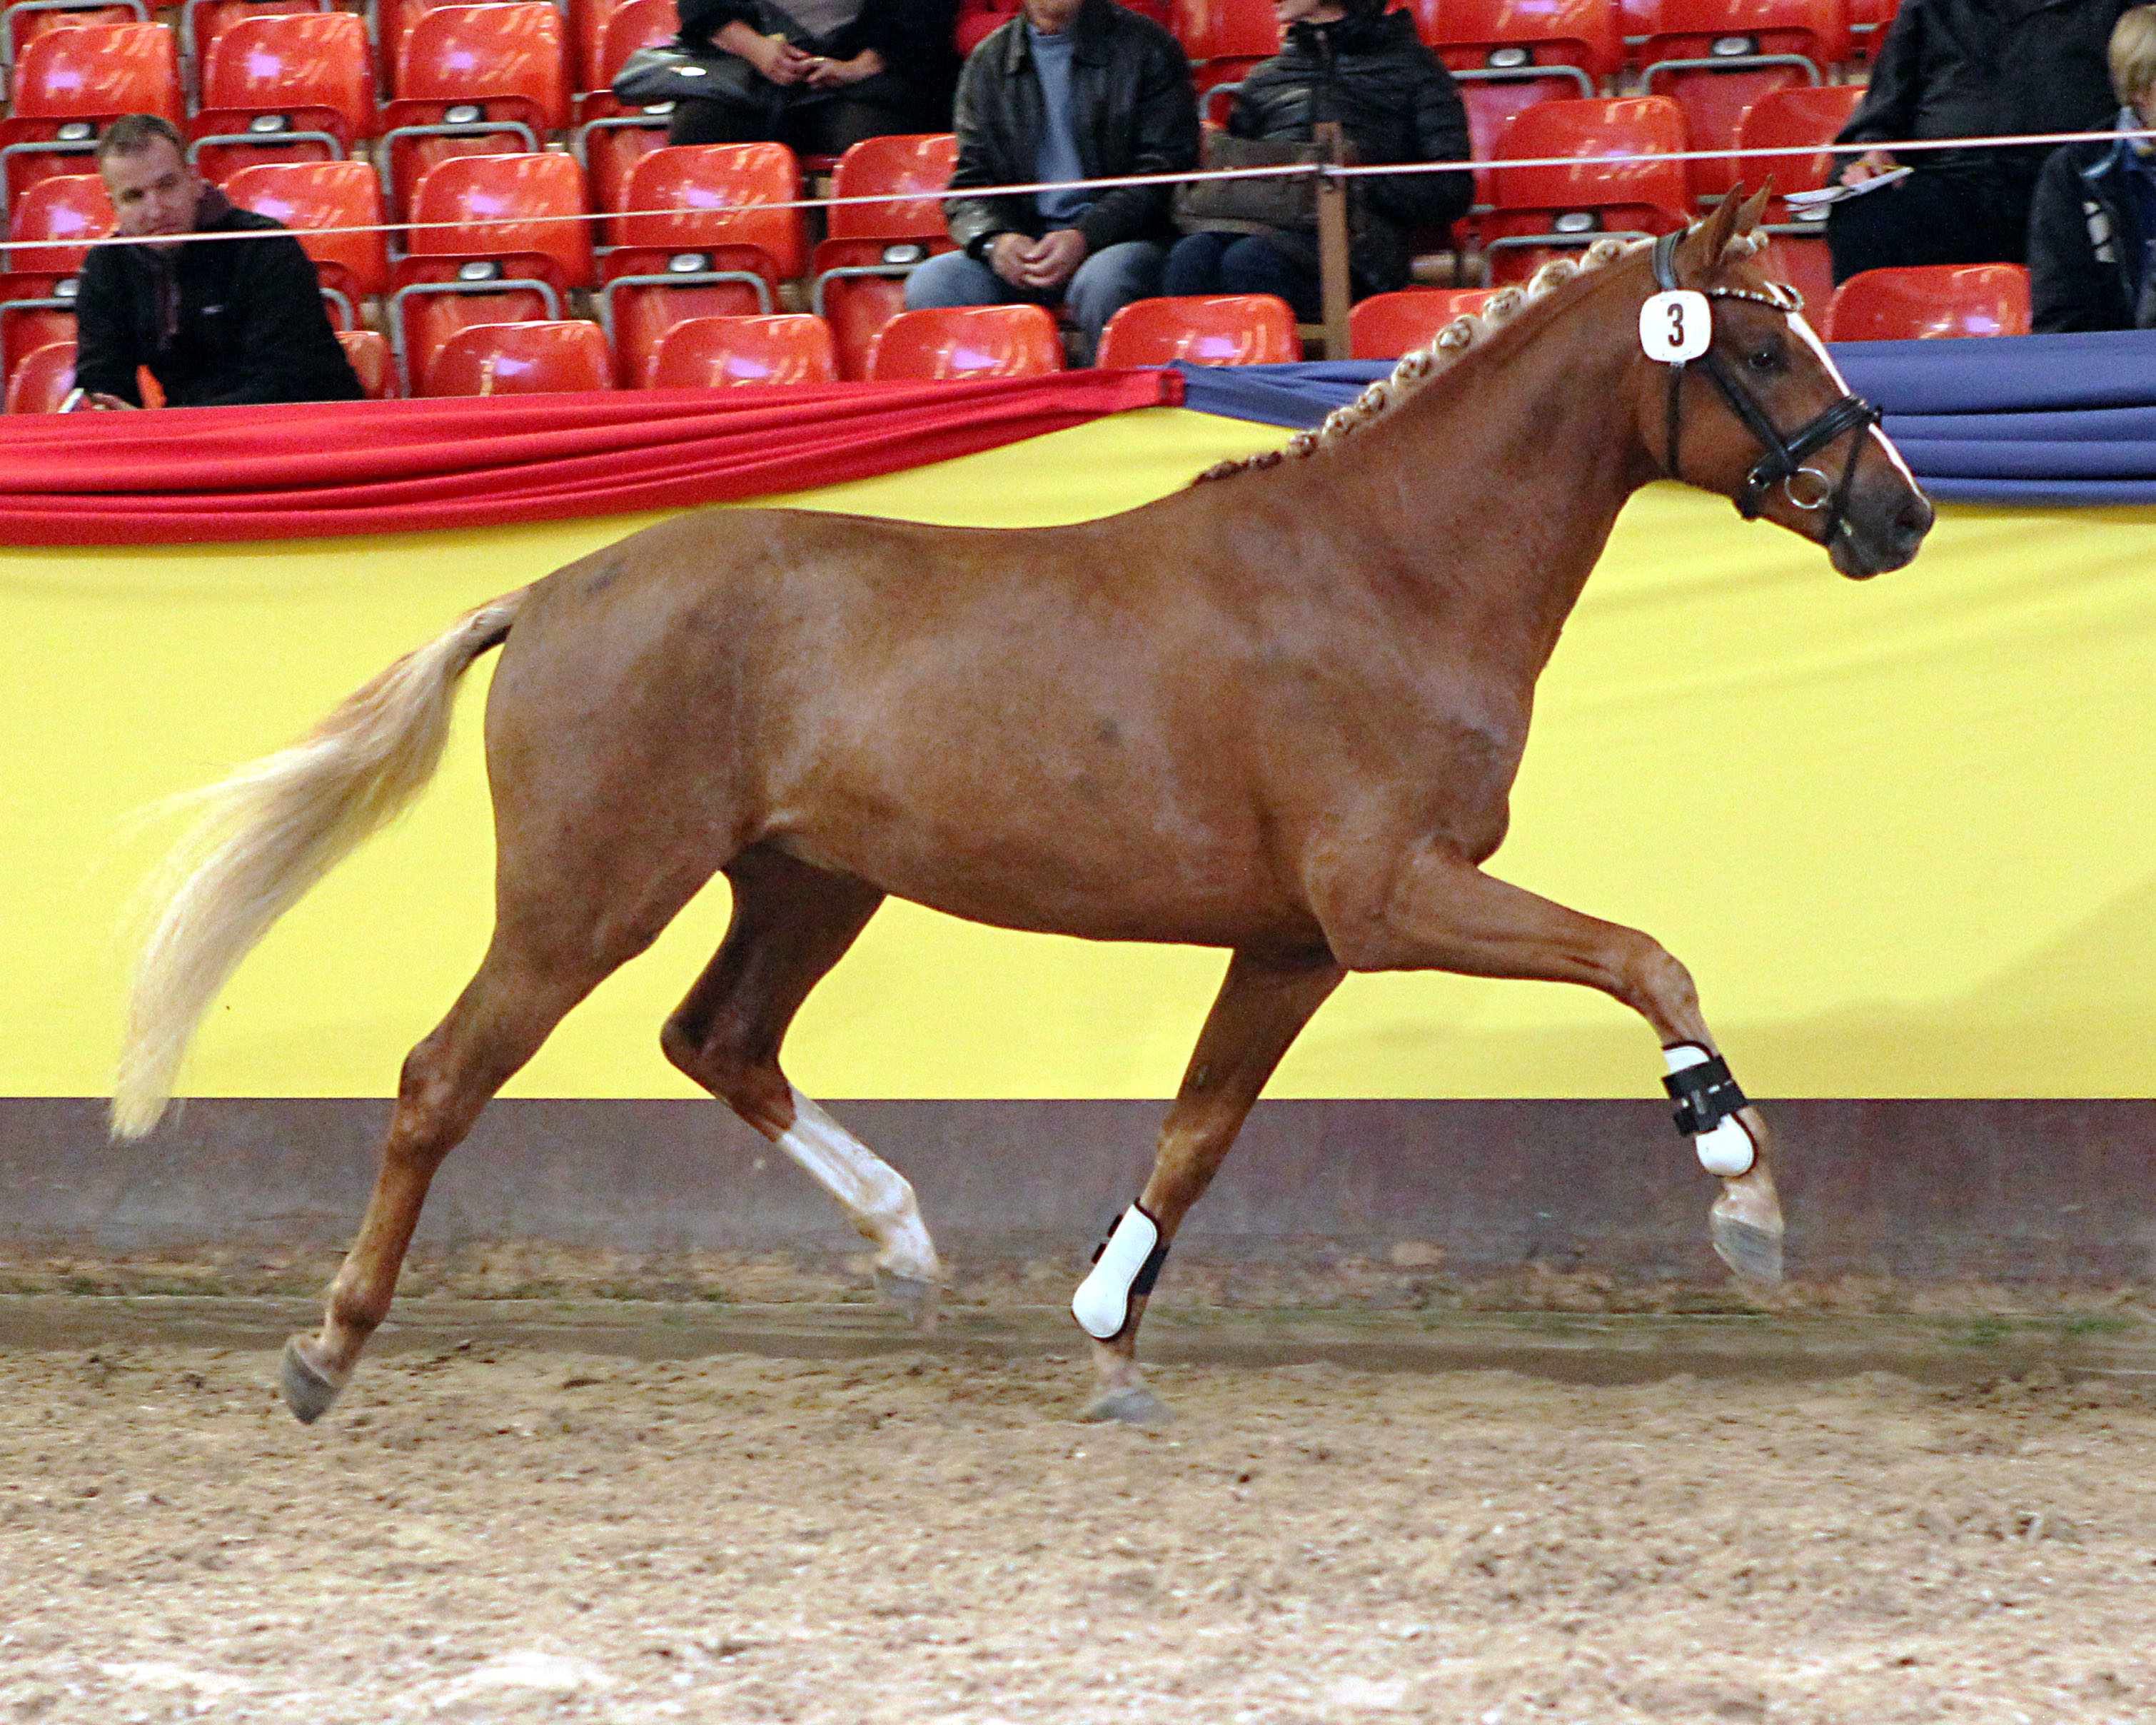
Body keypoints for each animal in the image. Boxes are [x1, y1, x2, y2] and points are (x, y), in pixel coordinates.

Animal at [114, 191, 1940, 1432]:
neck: (1386, 573)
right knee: (442, 1080)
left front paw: (1109, 1334)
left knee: (721, 1041)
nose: (1898, 518)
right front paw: (1743, 1196)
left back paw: (906, 1241)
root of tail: (549, 593)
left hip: (804, 884)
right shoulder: (1385, 898)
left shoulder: (1294, 941)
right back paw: (325, 1346)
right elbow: (1646, 960)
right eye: (1760, 343)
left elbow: (1196, 1135)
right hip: (590, 893)